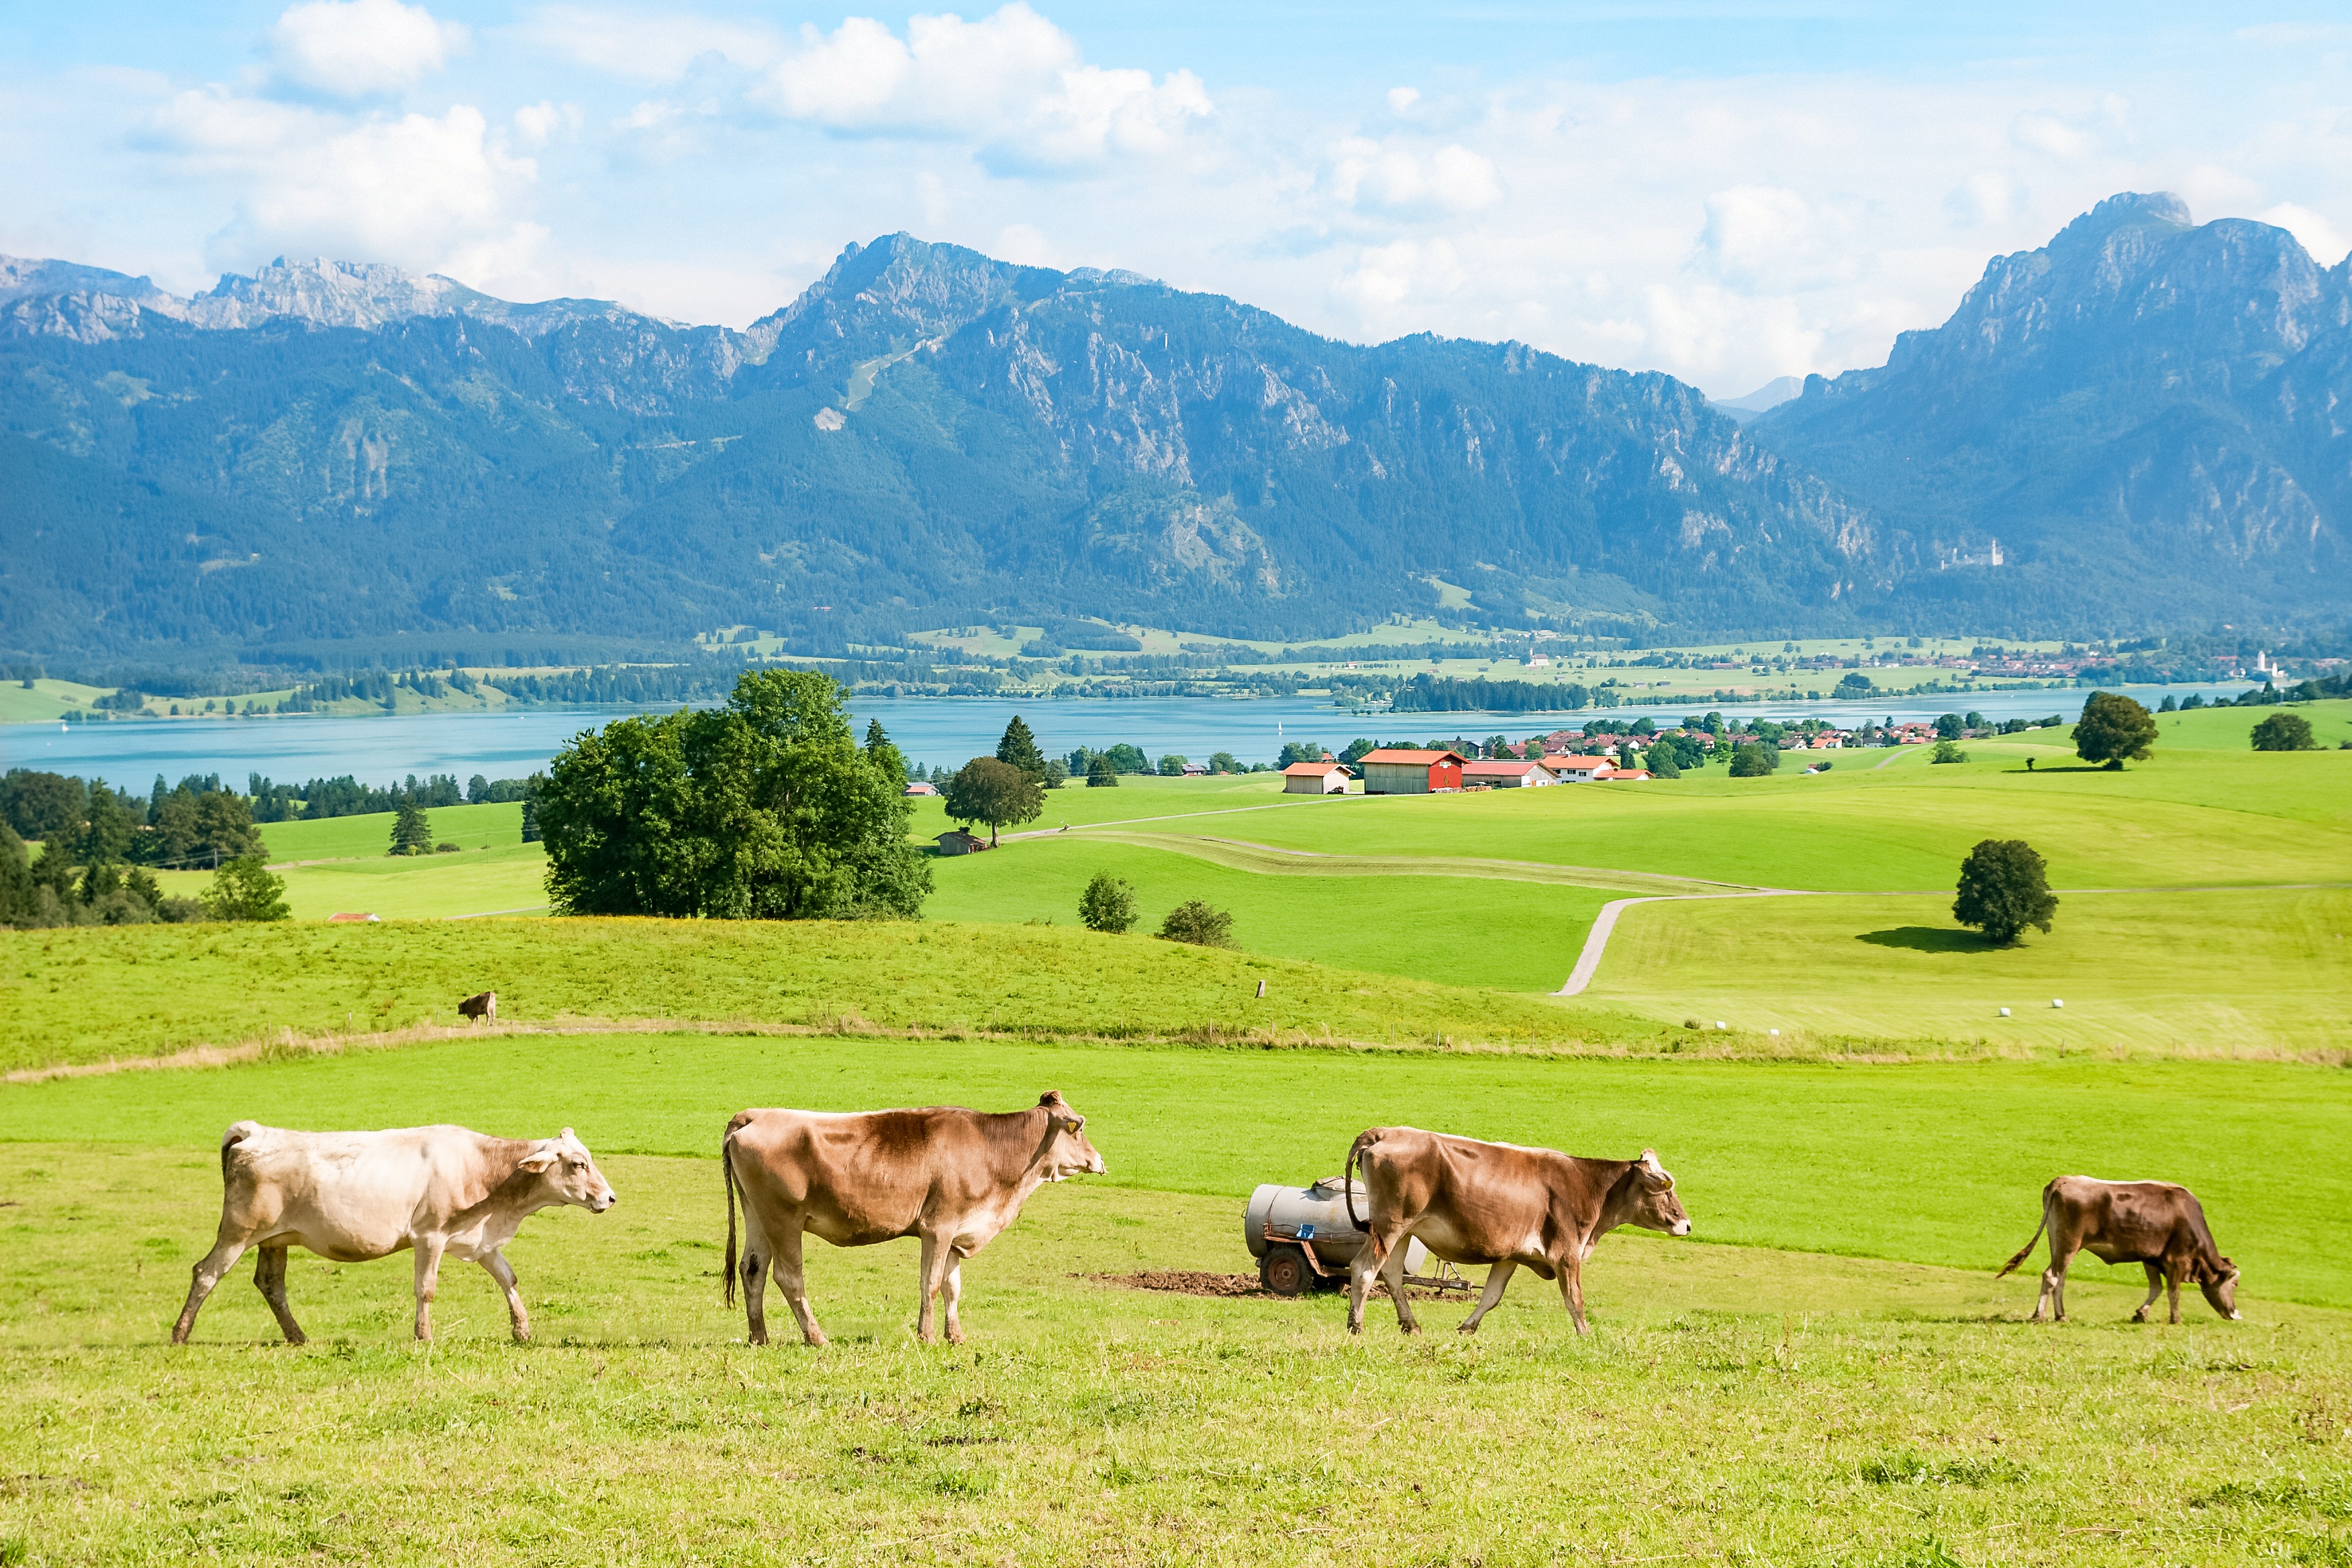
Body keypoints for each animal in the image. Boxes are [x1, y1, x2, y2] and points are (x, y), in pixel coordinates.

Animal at [171, 1124, 616, 1344]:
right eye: (578, 1164)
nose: (610, 1197)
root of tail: (255, 1132)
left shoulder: (480, 1240)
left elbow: (509, 1279)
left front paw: (522, 1331)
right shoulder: (430, 1235)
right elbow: (426, 1289)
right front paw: (424, 1336)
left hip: (274, 1239)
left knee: (270, 1284)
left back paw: (297, 1337)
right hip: (238, 1232)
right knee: (206, 1273)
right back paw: (180, 1335)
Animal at [720, 1091, 1105, 1354]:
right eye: (1077, 1127)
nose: (1099, 1161)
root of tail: (752, 1115)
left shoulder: (956, 1233)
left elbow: (952, 1287)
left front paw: (956, 1336)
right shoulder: (939, 1228)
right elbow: (931, 1284)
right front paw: (927, 1336)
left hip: (757, 1216)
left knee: (753, 1271)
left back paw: (760, 1338)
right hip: (783, 1219)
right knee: (789, 1277)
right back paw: (817, 1338)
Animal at [1345, 1128, 1693, 1335]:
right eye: (1665, 1189)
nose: (1687, 1224)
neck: (1589, 1185)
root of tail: (1383, 1132)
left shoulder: (1509, 1255)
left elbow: (1490, 1296)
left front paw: (1467, 1328)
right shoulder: (1566, 1254)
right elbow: (1575, 1299)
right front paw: (1585, 1336)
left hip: (1402, 1232)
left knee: (1391, 1274)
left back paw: (1410, 1324)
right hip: (1390, 1227)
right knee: (1364, 1270)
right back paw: (1356, 1326)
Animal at [2004, 1175, 2239, 1326]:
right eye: (2235, 1284)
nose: (2235, 1313)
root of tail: (2065, 1179)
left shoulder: (2151, 1259)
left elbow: (2156, 1288)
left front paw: (2141, 1315)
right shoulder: (2176, 1261)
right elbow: (2174, 1292)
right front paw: (2176, 1320)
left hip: (2060, 1244)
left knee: (2060, 1278)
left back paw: (2061, 1316)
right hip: (2069, 1244)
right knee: (2051, 1276)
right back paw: (2039, 1315)